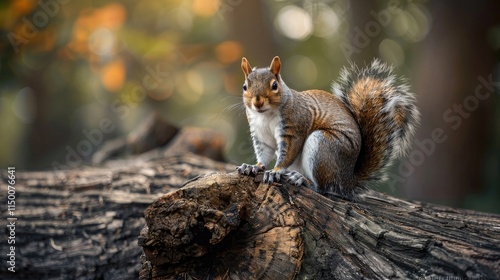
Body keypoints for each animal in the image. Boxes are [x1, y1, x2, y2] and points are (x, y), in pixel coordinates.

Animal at [236, 55, 420, 199]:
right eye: (245, 86)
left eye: (274, 85)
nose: (257, 102)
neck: (264, 115)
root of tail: (348, 180)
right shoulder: (261, 136)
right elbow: (264, 154)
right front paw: (253, 167)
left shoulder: (294, 127)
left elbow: (288, 153)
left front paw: (275, 171)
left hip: (324, 148)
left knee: (325, 187)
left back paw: (303, 180)